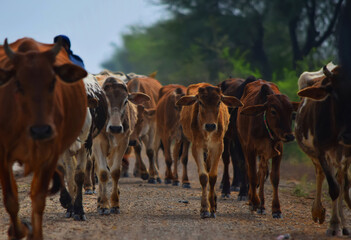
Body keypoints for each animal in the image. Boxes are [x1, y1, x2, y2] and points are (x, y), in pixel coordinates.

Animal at [0, 38, 87, 239]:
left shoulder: (50, 155)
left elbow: (38, 199)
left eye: (53, 82)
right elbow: (11, 200)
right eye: (18, 84)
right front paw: (19, 229)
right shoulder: (3, 156)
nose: (41, 130)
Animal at [177, 82, 243, 218]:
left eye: (218, 102)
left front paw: (212, 207)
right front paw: (204, 208)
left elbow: (212, 176)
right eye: (201, 102)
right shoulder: (197, 147)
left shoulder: (218, 146)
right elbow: (203, 176)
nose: (210, 125)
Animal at [236, 79, 300, 218]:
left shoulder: (278, 151)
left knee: (262, 172)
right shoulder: (250, 150)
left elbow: (274, 178)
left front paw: (276, 209)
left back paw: (262, 205)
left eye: (291, 113)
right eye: (273, 111)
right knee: (250, 171)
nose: (289, 136)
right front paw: (254, 202)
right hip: (244, 146)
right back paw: (254, 201)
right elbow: (252, 176)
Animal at [296, 65, 351, 236]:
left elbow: (342, 186)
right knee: (321, 174)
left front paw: (339, 224)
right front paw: (333, 225)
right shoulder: (321, 152)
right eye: (334, 93)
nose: (348, 136)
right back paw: (318, 211)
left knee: (341, 181)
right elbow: (333, 188)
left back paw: (344, 224)